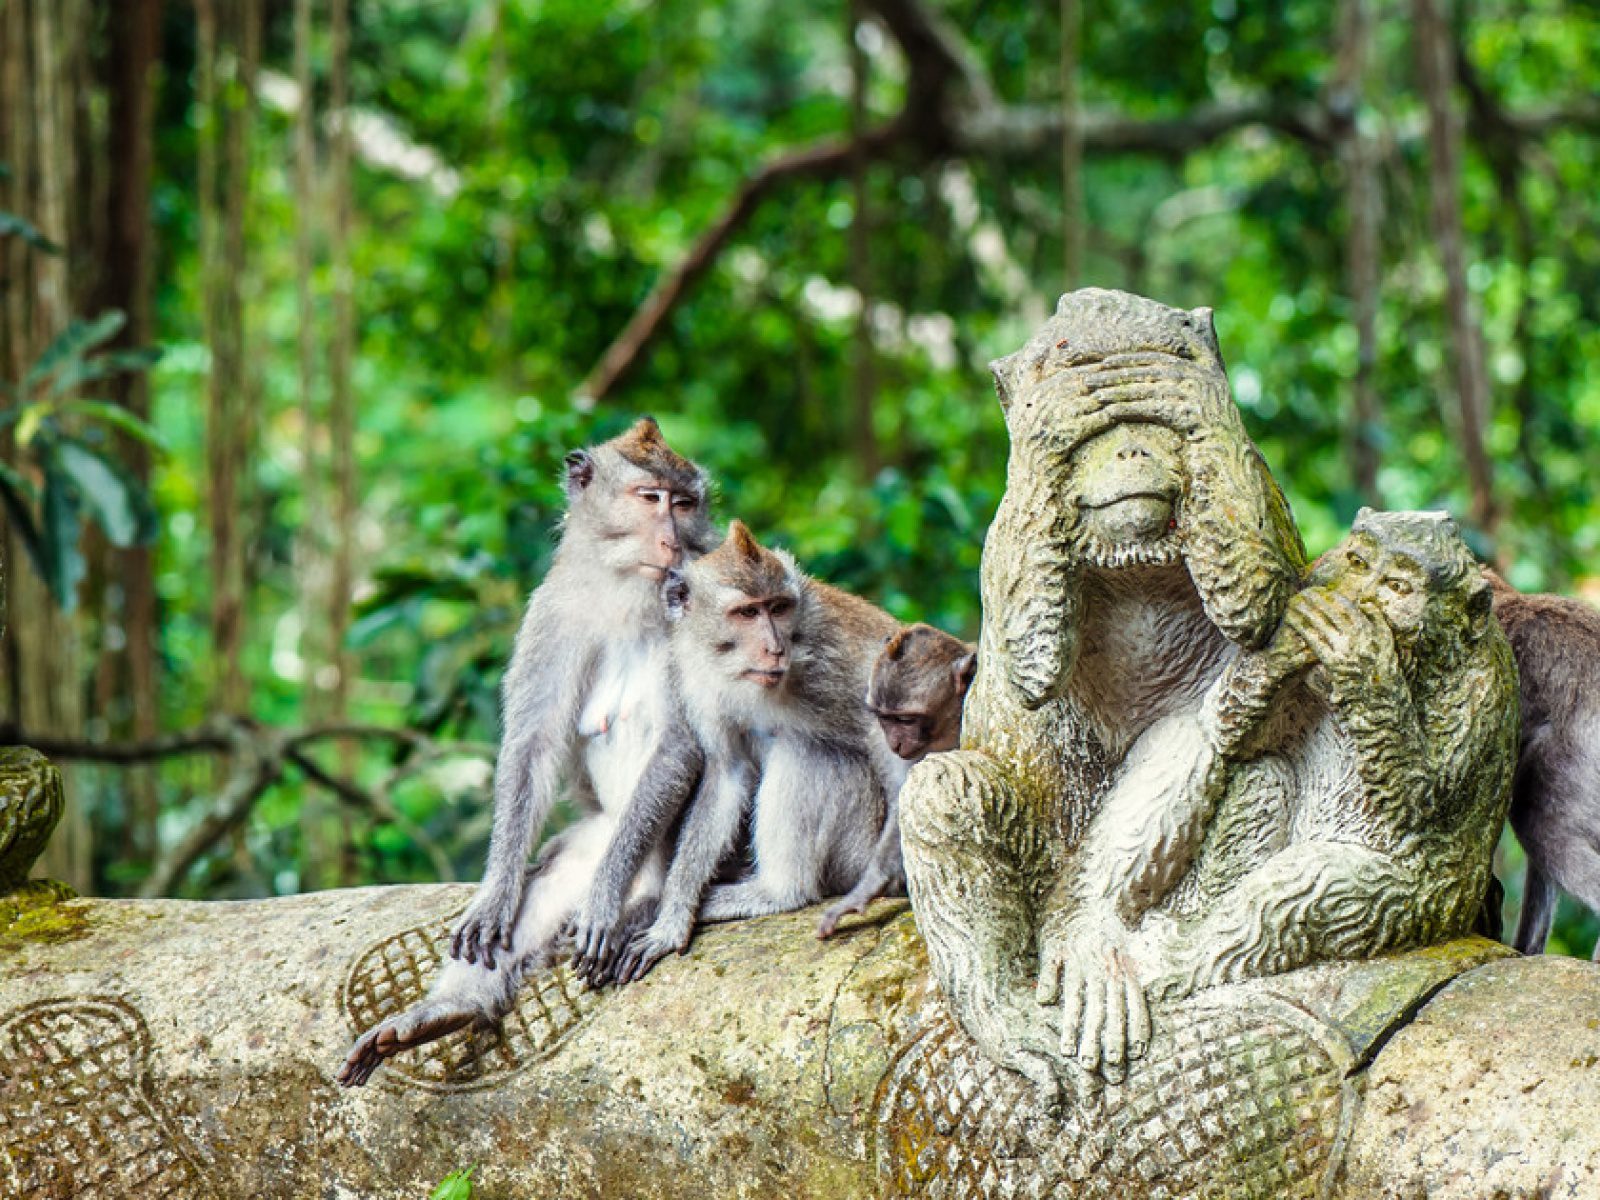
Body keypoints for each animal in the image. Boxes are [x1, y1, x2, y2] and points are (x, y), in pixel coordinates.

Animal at [337, 419, 713, 1088]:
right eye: (650, 499)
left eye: (686, 503)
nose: (673, 538)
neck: (630, 593)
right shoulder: (551, 611)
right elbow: (533, 747)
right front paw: (495, 893)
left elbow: (680, 743)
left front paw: (603, 900)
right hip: (594, 835)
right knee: (549, 883)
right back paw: (448, 1010)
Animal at [572, 521, 902, 992]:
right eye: (747, 613)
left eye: (778, 608)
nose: (775, 648)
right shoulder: (694, 677)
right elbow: (727, 772)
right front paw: (672, 920)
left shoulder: (841, 658)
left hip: (861, 848)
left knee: (807, 751)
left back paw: (781, 892)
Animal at [819, 624, 979, 947]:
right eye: (883, 717)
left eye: (906, 719)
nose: (895, 741)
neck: (945, 729)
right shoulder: (883, 744)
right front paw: (871, 885)